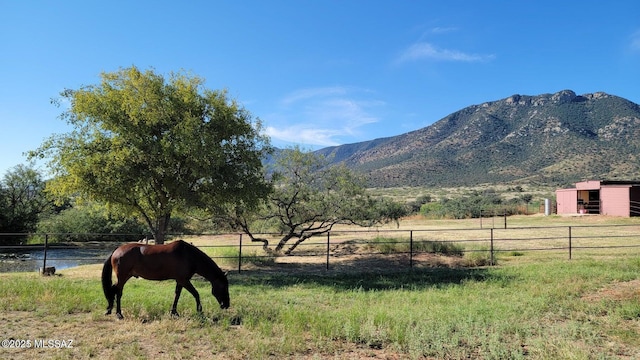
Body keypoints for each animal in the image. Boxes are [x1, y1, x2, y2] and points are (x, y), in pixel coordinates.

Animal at [101, 240, 229, 320]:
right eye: (224, 286)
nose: (226, 305)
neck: (189, 256)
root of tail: (117, 250)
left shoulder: (180, 281)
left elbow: (177, 295)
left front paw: (174, 312)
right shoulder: (184, 280)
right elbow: (196, 294)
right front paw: (200, 312)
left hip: (125, 276)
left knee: (113, 290)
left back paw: (110, 309)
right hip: (122, 277)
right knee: (118, 292)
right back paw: (118, 314)